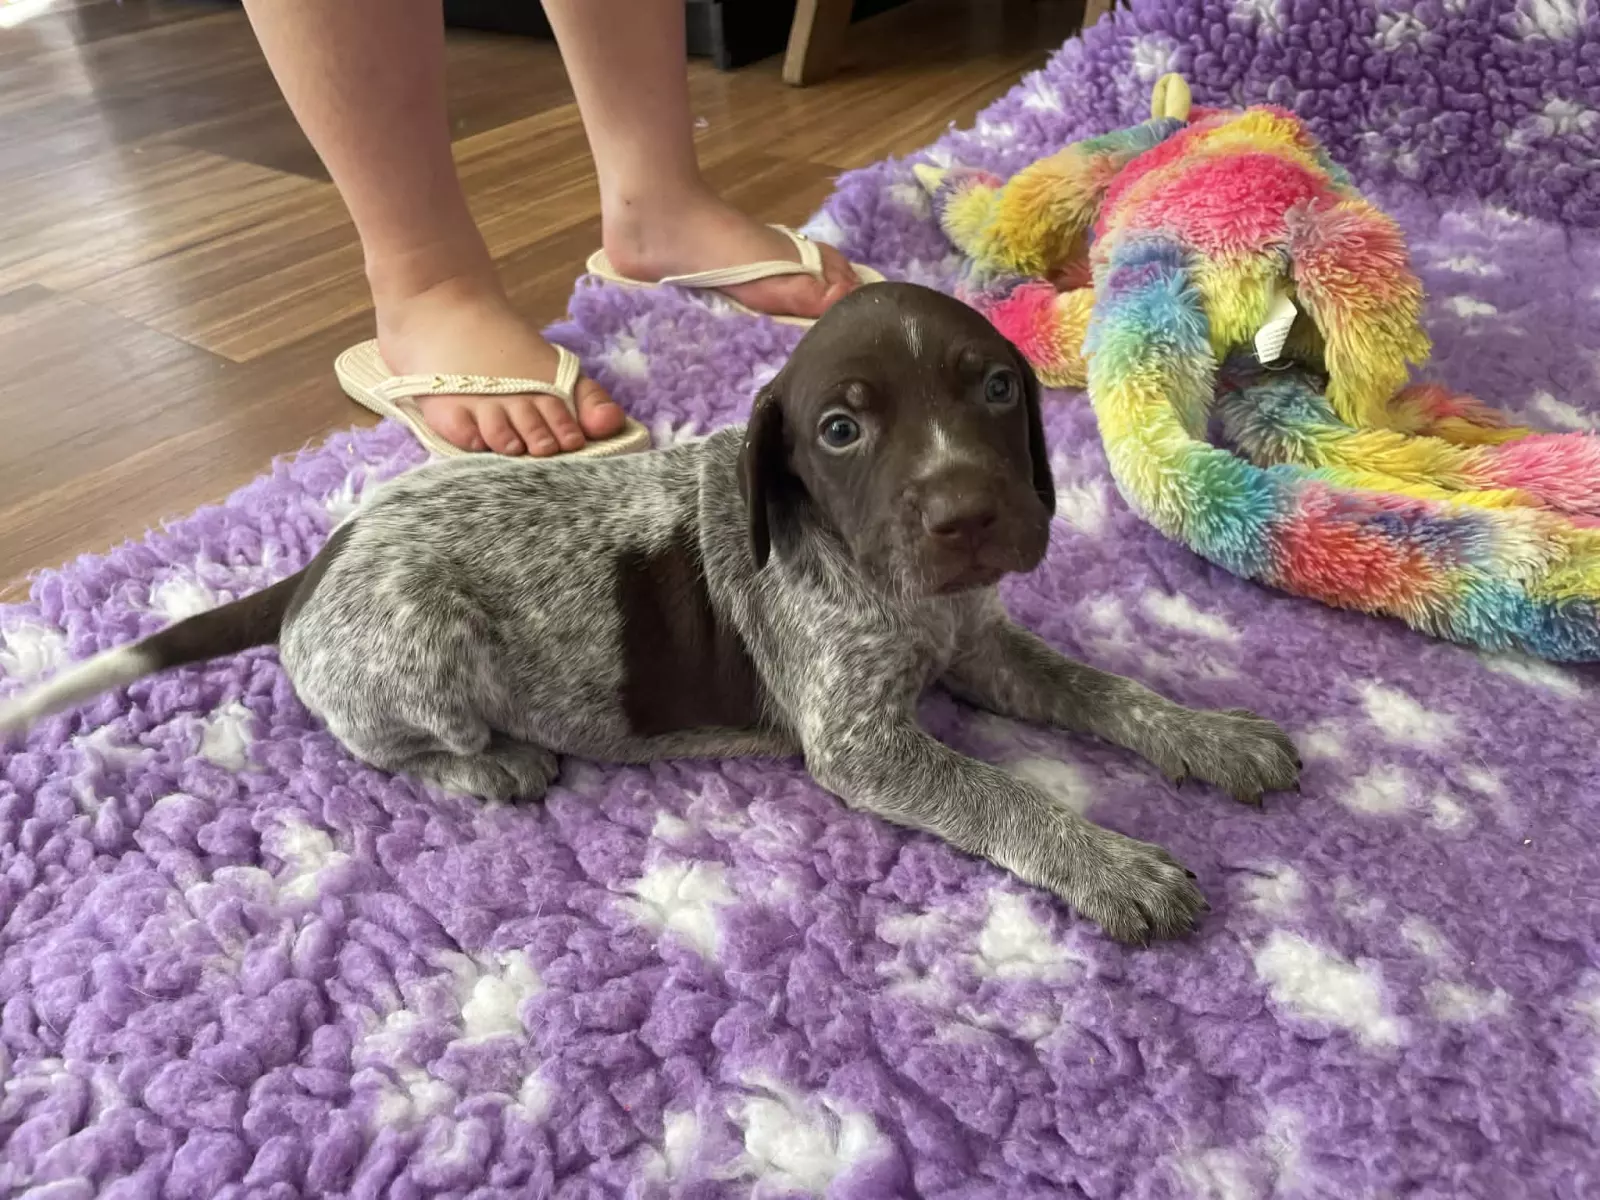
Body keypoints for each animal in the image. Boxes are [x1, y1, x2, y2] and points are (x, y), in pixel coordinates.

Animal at [0, 282, 1299, 943]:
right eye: (841, 428)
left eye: (992, 387)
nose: (969, 516)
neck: (886, 591)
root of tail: (324, 557)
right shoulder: (863, 746)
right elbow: (1005, 795)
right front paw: (1110, 863)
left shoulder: (981, 645)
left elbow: (1104, 689)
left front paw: (1208, 735)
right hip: (421, 643)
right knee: (382, 745)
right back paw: (490, 765)